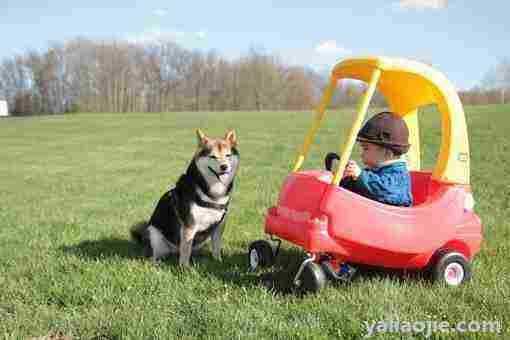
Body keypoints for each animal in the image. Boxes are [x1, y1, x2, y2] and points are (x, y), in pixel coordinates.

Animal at [131, 129, 239, 266]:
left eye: (228, 155)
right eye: (213, 156)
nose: (224, 166)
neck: (213, 193)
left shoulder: (219, 225)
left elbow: (216, 247)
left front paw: (218, 261)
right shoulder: (189, 225)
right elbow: (186, 250)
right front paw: (184, 268)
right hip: (154, 234)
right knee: (154, 256)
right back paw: (157, 262)